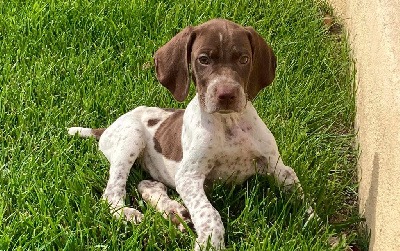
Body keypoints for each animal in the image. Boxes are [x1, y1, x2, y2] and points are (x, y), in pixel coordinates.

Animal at [68, 18, 310, 250]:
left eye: (244, 59)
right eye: (203, 59)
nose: (226, 95)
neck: (228, 123)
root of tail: (108, 127)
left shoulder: (277, 167)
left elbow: (302, 198)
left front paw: (312, 224)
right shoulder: (189, 176)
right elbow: (210, 214)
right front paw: (210, 242)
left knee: (147, 183)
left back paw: (175, 212)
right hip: (131, 136)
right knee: (112, 194)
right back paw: (132, 213)